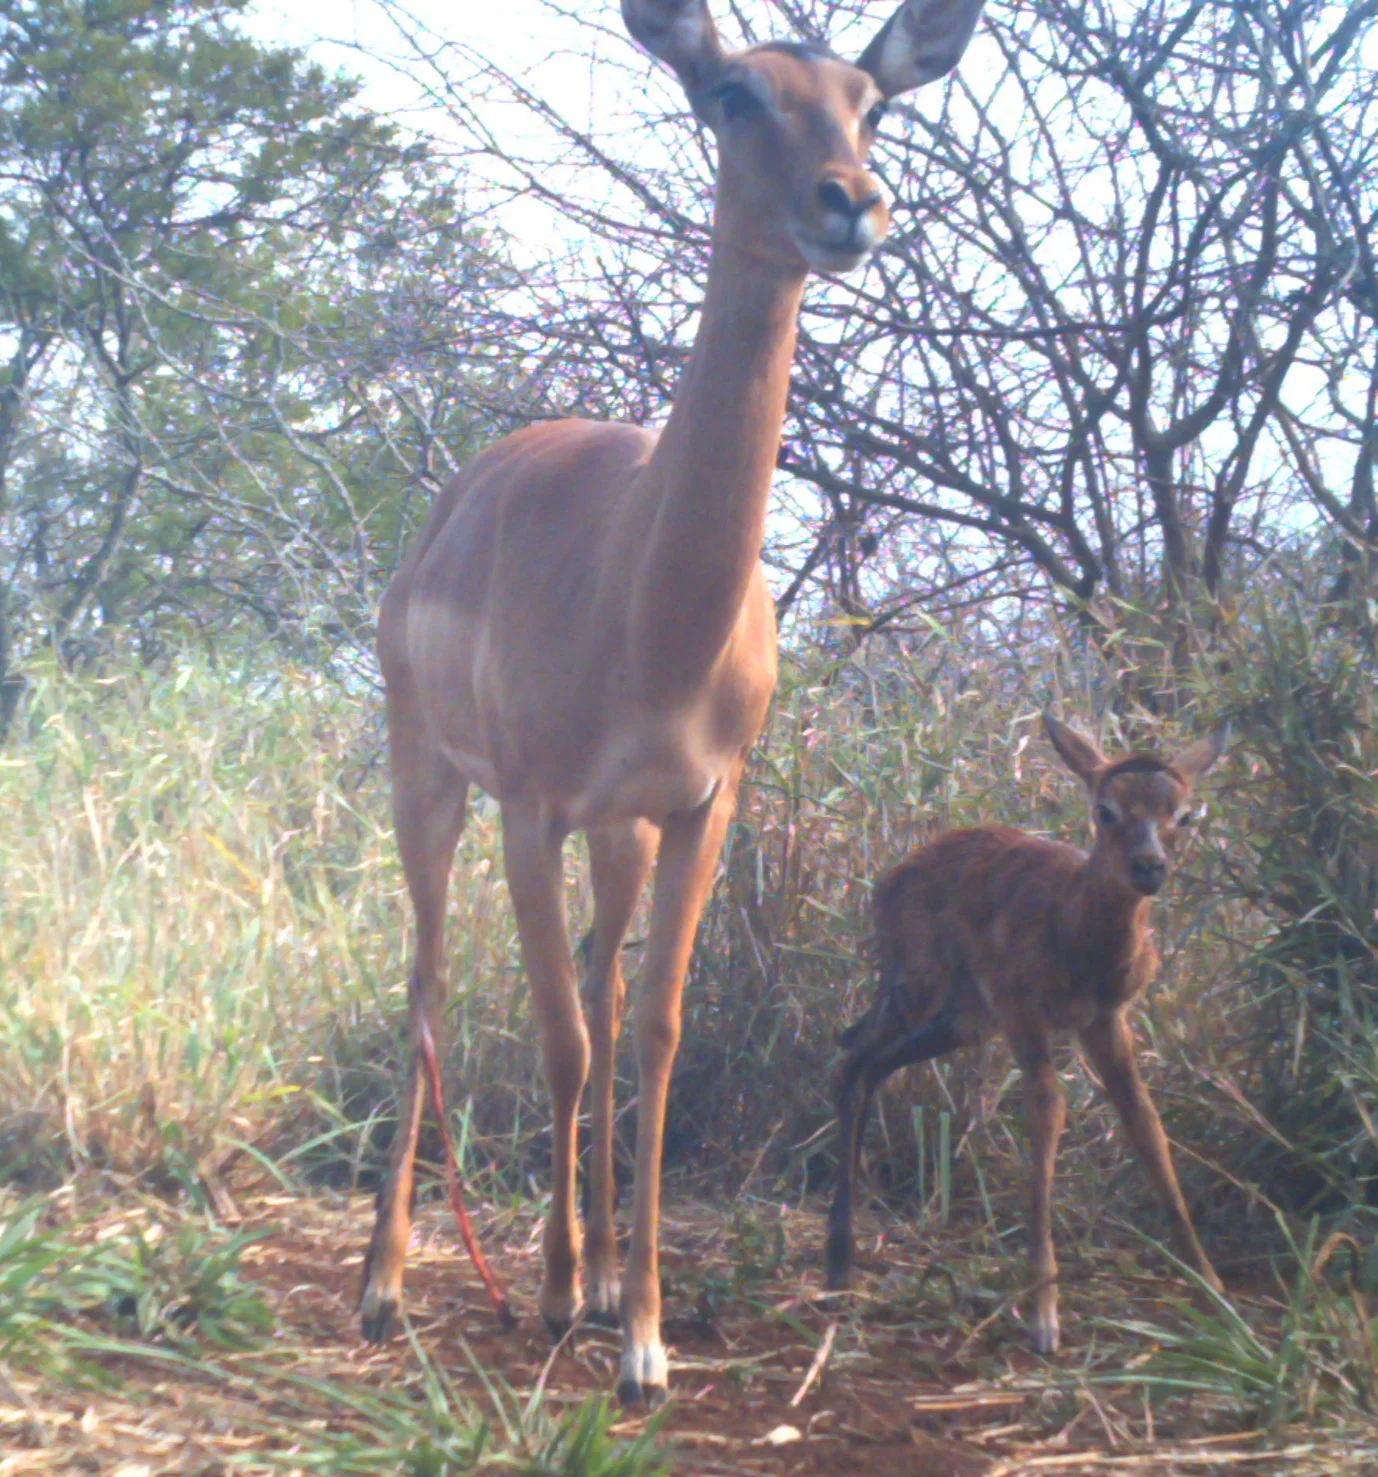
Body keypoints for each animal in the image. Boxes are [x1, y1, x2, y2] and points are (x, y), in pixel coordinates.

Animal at [357, 0, 987, 1406]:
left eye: (871, 100)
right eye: (731, 94)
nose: (849, 201)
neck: (651, 603)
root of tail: (448, 510)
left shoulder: (701, 803)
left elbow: (649, 1027)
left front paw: (639, 1330)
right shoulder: (532, 809)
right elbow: (558, 1037)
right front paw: (553, 1292)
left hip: (621, 832)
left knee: (596, 983)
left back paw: (588, 1275)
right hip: (432, 781)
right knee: (431, 976)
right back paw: (387, 1285)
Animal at [826, 713, 1227, 1354]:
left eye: (1183, 814)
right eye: (1104, 808)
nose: (1150, 865)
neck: (1078, 935)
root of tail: (886, 882)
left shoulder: (1104, 1020)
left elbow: (1143, 1118)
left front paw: (1212, 1286)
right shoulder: (1022, 1011)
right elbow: (1047, 1111)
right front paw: (1042, 1312)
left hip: (960, 1019)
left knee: (866, 1065)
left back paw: (842, 1262)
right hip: (918, 991)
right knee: (851, 1061)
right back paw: (838, 1266)